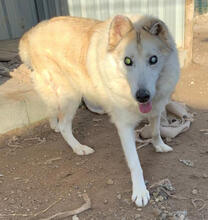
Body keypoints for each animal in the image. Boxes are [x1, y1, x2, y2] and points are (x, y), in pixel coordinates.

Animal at [18, 14, 180, 207]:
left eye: (153, 59)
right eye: (127, 61)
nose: (142, 96)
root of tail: (30, 34)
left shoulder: (156, 108)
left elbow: (155, 131)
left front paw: (159, 146)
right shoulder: (124, 126)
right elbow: (135, 163)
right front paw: (140, 191)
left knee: (51, 109)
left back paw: (54, 125)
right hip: (71, 95)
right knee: (65, 125)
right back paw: (79, 147)